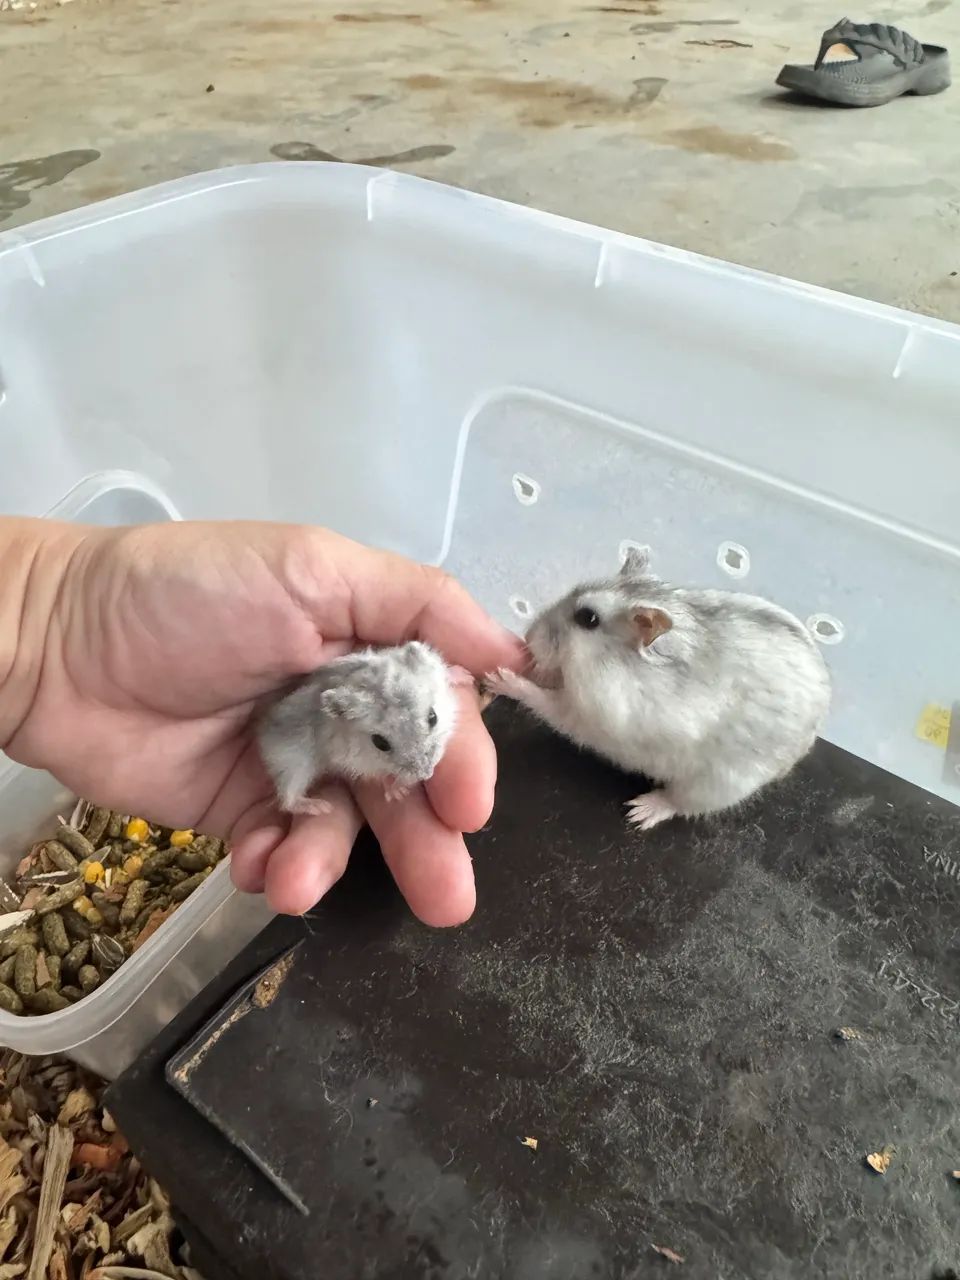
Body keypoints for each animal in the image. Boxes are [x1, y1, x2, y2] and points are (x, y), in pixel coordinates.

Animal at [256, 641, 457, 815]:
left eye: (433, 717)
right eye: (380, 743)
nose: (427, 775)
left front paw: (461, 674)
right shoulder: (353, 760)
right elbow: (379, 774)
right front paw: (398, 793)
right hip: (293, 762)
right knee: (287, 800)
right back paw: (321, 807)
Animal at [486, 546, 831, 830]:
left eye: (588, 618)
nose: (527, 636)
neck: (612, 662)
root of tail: (803, 747)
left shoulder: (589, 715)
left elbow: (544, 701)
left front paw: (500, 678)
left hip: (716, 784)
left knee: (681, 804)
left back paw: (641, 811)